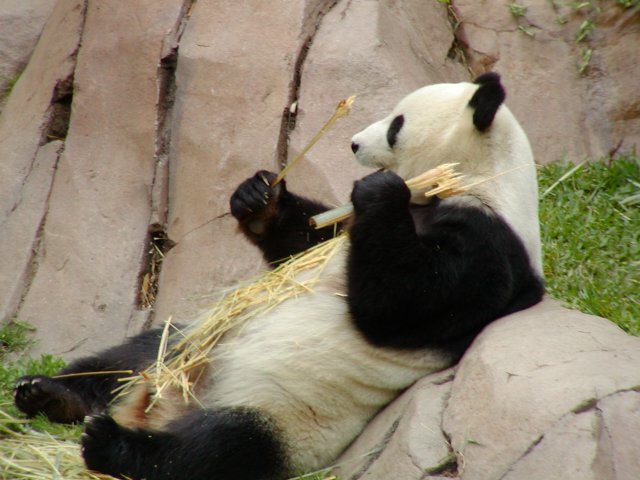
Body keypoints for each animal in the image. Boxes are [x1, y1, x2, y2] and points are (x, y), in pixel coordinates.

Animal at [14, 72, 544, 480]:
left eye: (396, 125)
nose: (354, 142)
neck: (475, 176)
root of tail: (158, 408)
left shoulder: (489, 244)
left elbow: (403, 304)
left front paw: (379, 190)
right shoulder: (353, 231)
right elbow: (304, 246)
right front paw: (259, 197)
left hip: (284, 416)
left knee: (216, 450)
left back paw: (111, 443)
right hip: (188, 345)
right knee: (131, 357)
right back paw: (51, 394)